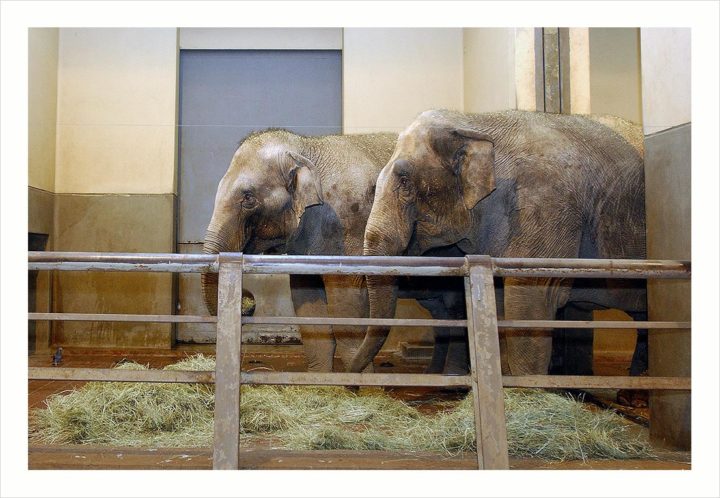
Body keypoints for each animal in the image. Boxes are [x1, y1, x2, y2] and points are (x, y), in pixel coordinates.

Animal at [201, 129, 466, 374]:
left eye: (248, 198)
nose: (248, 305)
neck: (306, 149)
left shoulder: (349, 225)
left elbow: (345, 310)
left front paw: (359, 385)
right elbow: (310, 314)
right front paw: (320, 382)